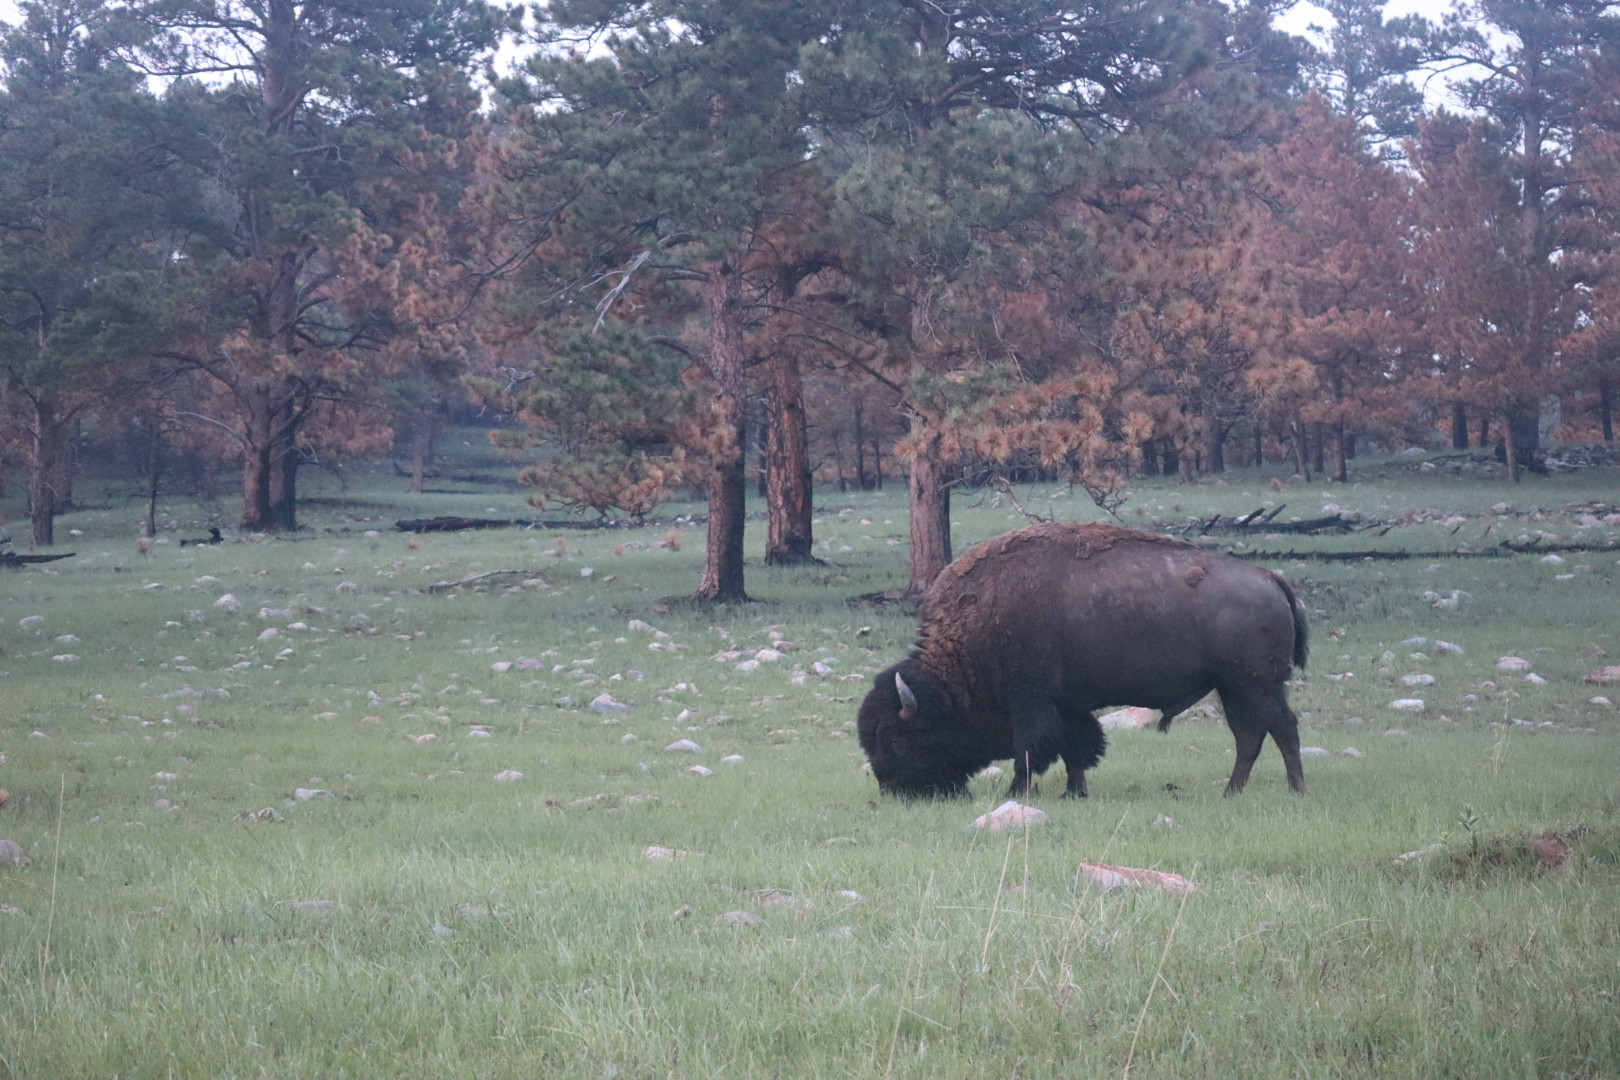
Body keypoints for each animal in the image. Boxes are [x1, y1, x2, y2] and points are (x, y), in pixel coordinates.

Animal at [857, 522, 1309, 799]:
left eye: (894, 737)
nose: (894, 790)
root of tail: (1270, 577)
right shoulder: (1068, 706)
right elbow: (1075, 748)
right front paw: (1075, 792)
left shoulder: (1030, 703)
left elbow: (1030, 750)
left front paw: (1017, 793)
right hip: (1233, 687)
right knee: (1250, 736)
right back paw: (1231, 792)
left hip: (1256, 684)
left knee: (1281, 729)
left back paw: (1294, 789)